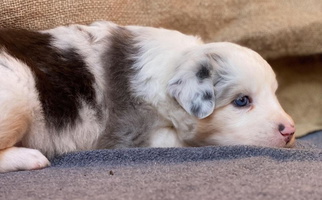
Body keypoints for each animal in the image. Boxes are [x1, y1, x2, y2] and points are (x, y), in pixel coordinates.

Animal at [0, 21, 294, 172]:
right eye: (241, 101)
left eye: (274, 93)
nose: (290, 131)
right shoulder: (131, 135)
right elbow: (179, 141)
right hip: (18, 93)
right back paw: (31, 157)